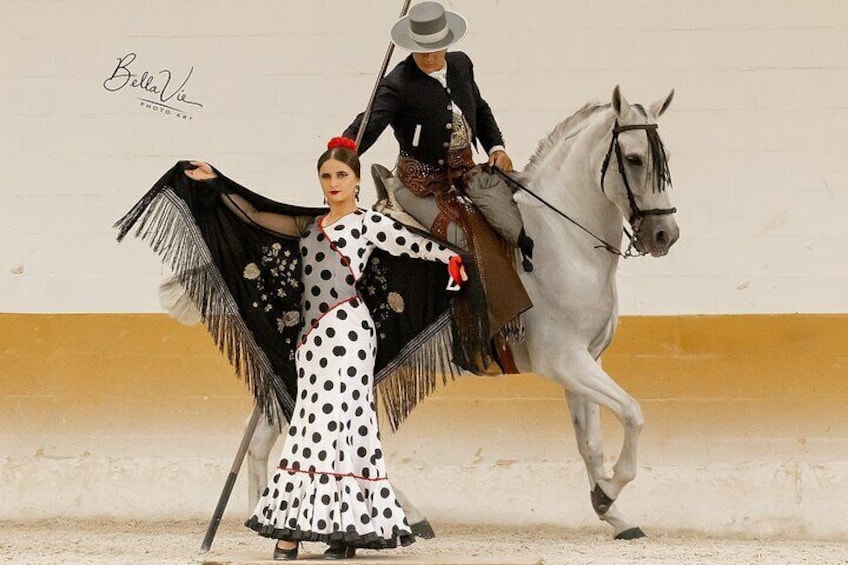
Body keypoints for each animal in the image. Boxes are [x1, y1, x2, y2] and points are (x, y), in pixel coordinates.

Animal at [243, 87, 676, 536]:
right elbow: (633, 413)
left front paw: (612, 511)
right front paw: (610, 490)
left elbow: (589, 441)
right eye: (634, 159)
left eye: (664, 160)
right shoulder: (564, 361)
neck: (561, 241)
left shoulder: (588, 360)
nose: (665, 235)